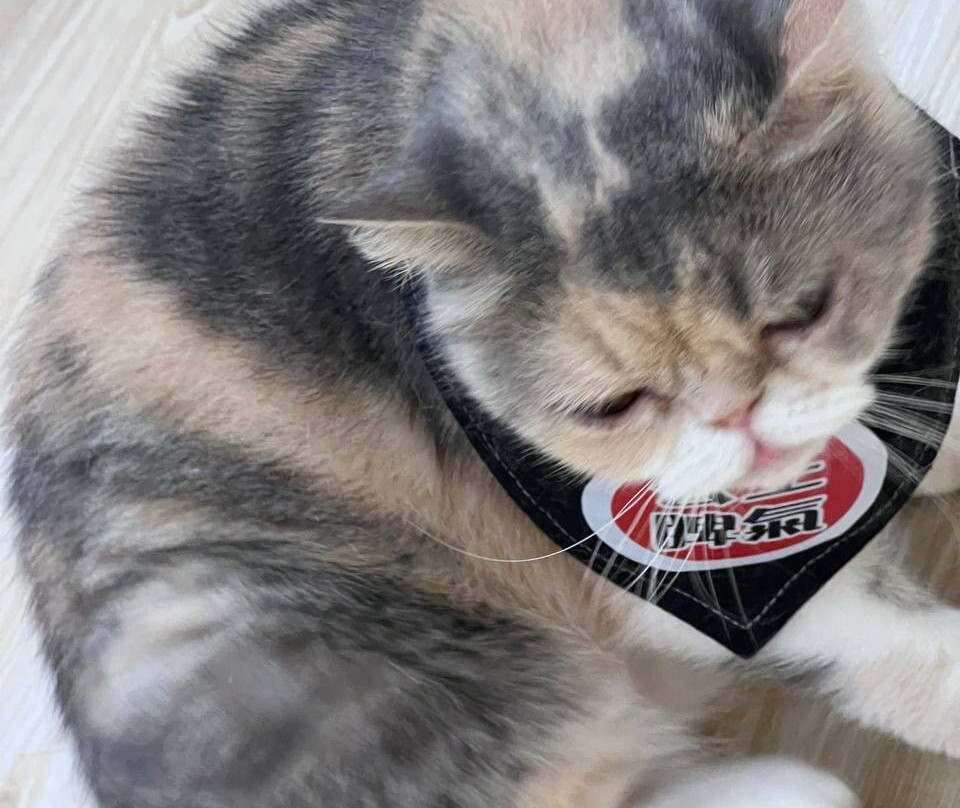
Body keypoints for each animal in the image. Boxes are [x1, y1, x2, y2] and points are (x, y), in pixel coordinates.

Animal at [3, 0, 959, 806]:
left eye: (803, 314)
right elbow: (902, 657)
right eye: (611, 407)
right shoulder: (675, 566)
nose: (740, 422)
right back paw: (789, 786)